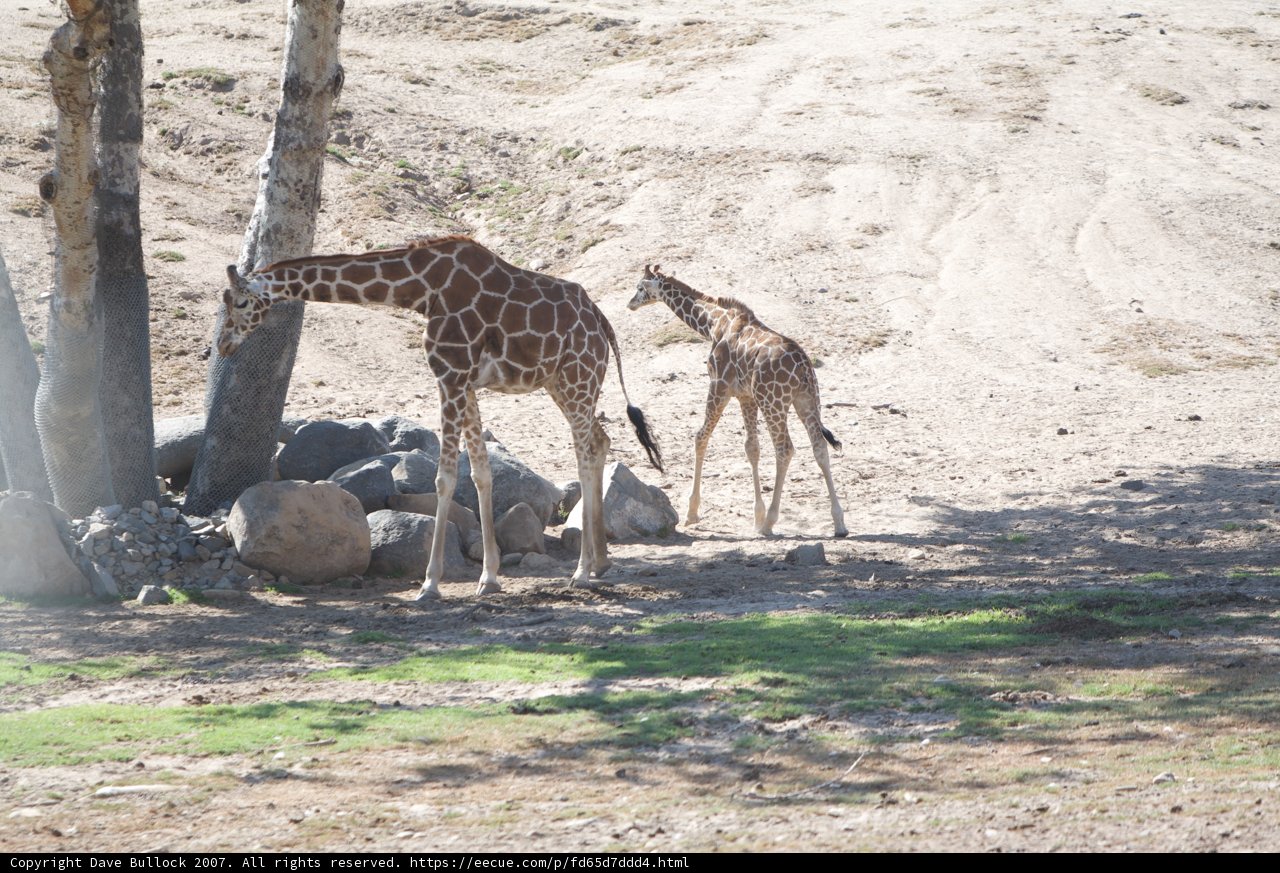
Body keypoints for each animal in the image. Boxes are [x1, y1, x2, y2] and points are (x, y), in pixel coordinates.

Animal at [218, 235, 663, 600]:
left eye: (240, 302)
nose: (223, 345)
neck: (420, 288)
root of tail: (603, 324)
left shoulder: (450, 375)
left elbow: (445, 478)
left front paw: (430, 584)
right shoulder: (465, 382)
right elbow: (480, 471)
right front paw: (489, 578)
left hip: (577, 379)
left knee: (586, 453)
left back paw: (582, 572)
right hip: (563, 384)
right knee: (601, 442)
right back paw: (600, 563)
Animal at [628, 265, 847, 538]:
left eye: (640, 287)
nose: (630, 304)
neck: (712, 323)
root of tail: (804, 367)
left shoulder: (719, 385)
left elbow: (700, 437)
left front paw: (692, 512)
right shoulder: (746, 396)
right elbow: (752, 448)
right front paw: (756, 515)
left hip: (773, 402)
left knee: (785, 449)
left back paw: (770, 523)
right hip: (806, 400)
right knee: (819, 448)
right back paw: (839, 523)